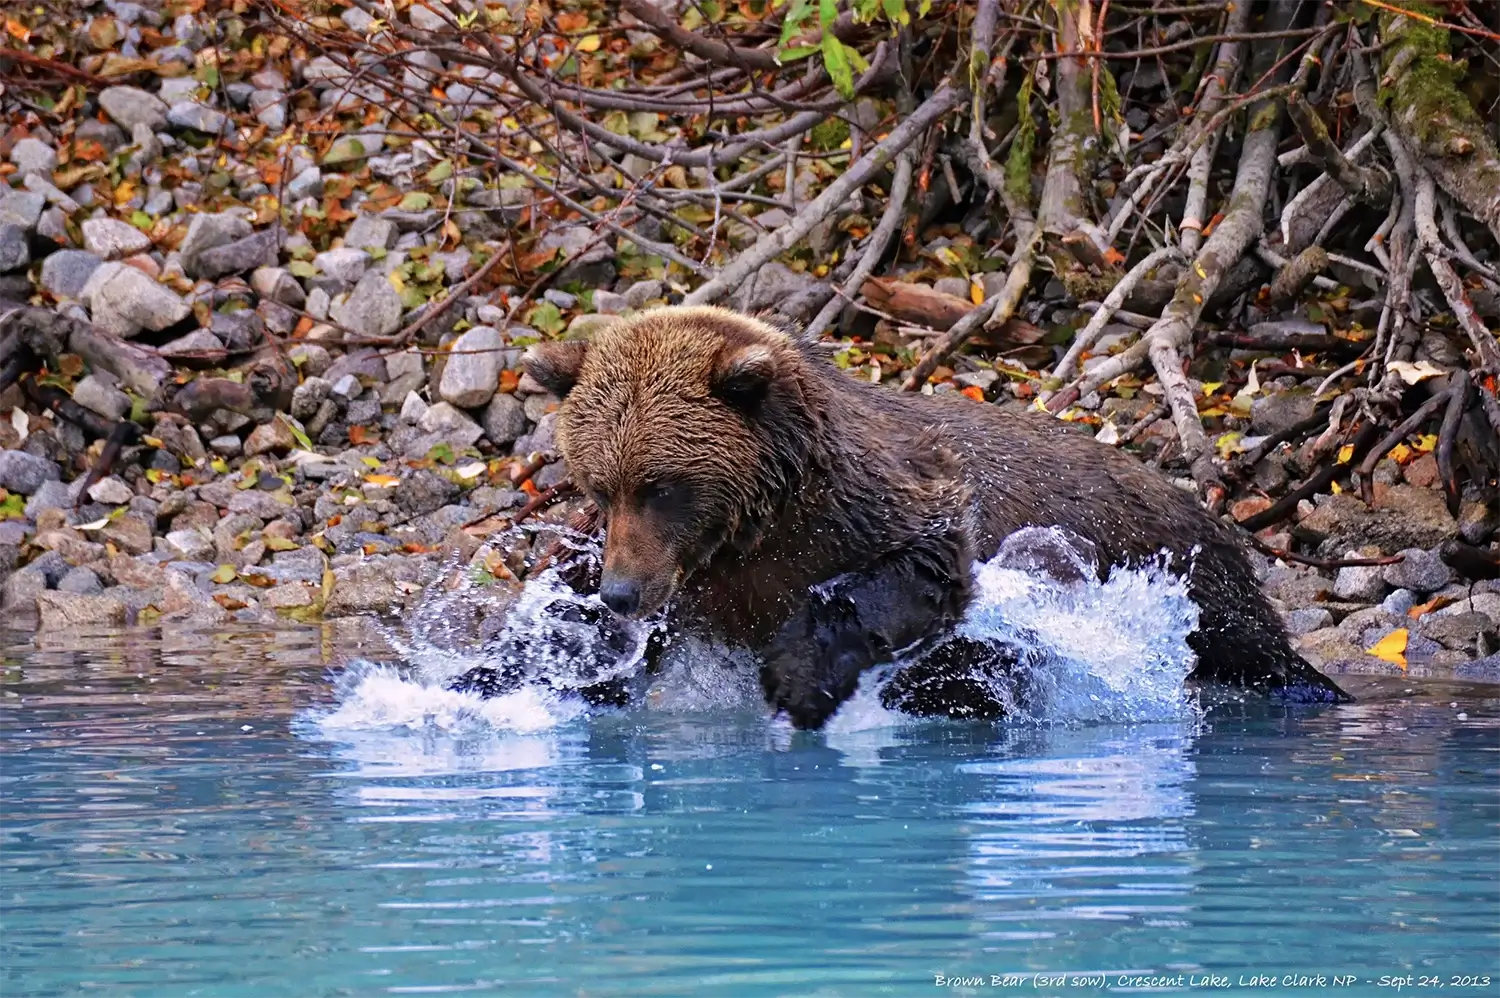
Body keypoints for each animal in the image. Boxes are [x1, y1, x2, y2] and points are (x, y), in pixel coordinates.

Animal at [470, 305, 1347, 729]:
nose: (625, 591)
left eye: (662, 485)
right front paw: (489, 675)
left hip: (1178, 566)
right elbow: (573, 628)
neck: (757, 518)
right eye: (601, 484)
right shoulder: (692, 574)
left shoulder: (864, 506)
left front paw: (800, 676)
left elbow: (915, 569)